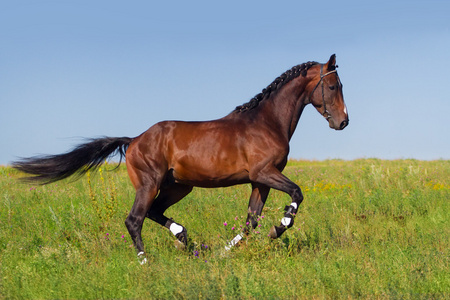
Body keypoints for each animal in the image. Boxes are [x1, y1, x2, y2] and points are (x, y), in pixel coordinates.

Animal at [13, 54, 348, 262]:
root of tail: (134, 140)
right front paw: (280, 227)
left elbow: (250, 222)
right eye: (333, 86)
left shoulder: (259, 181)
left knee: (154, 213)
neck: (266, 122)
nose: (343, 122)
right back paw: (146, 261)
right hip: (150, 184)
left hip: (178, 186)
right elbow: (296, 194)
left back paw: (189, 241)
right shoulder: (265, 173)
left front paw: (225, 251)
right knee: (134, 219)